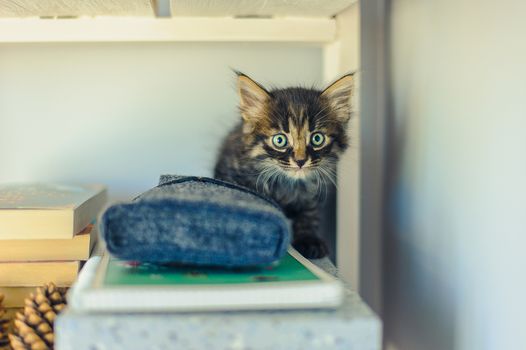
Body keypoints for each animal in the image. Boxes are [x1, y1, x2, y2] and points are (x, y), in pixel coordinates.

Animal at [214, 72, 354, 258]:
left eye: (317, 138)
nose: (300, 161)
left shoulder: (313, 195)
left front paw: (309, 239)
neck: (288, 186)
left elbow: (309, 215)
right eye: (279, 140)